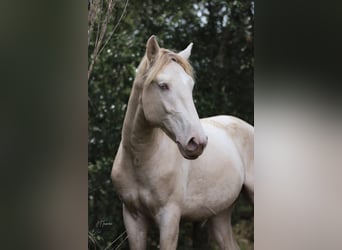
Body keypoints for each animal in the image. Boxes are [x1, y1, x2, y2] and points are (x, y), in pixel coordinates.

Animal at [111, 35, 252, 250]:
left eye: (190, 86)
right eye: (163, 85)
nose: (197, 142)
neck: (140, 158)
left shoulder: (169, 218)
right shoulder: (132, 218)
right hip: (220, 215)